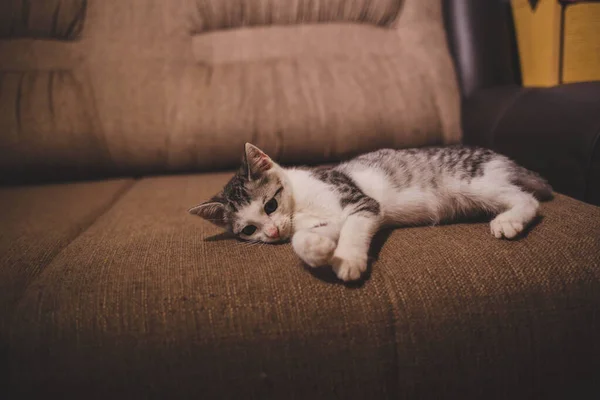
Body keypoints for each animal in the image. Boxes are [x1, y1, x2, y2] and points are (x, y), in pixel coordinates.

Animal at [191, 144, 552, 282]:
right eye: (249, 230)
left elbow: (353, 228)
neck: (301, 203)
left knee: (528, 199)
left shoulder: (360, 203)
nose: (273, 233)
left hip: (473, 183)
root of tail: (497, 155)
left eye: (270, 205)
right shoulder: (324, 220)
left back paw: (510, 220)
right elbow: (307, 237)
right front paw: (318, 249)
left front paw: (348, 259)